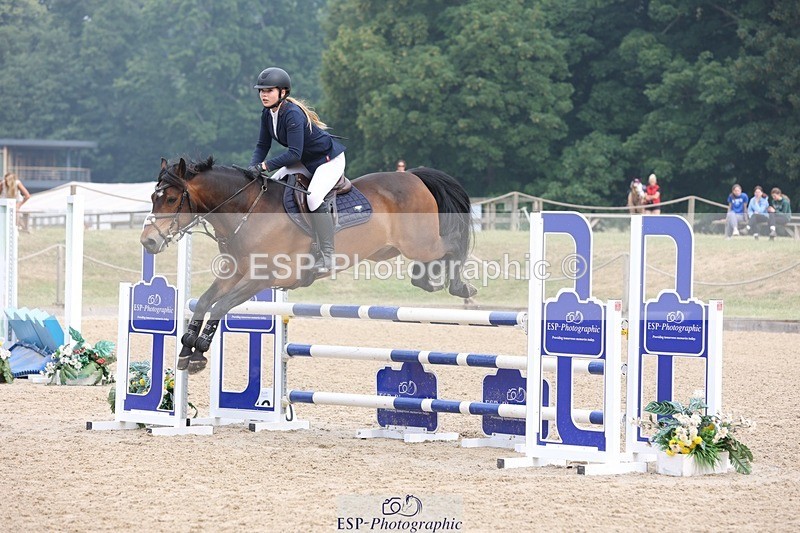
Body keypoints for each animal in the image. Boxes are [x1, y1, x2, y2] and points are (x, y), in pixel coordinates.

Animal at [141, 157, 477, 373]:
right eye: (154, 198)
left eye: (171, 199)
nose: (148, 242)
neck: (247, 211)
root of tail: (415, 175)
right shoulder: (235, 272)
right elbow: (204, 302)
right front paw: (187, 349)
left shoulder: (262, 277)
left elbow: (220, 306)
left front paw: (198, 353)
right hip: (391, 249)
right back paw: (428, 279)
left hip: (421, 242)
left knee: (452, 243)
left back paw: (459, 286)